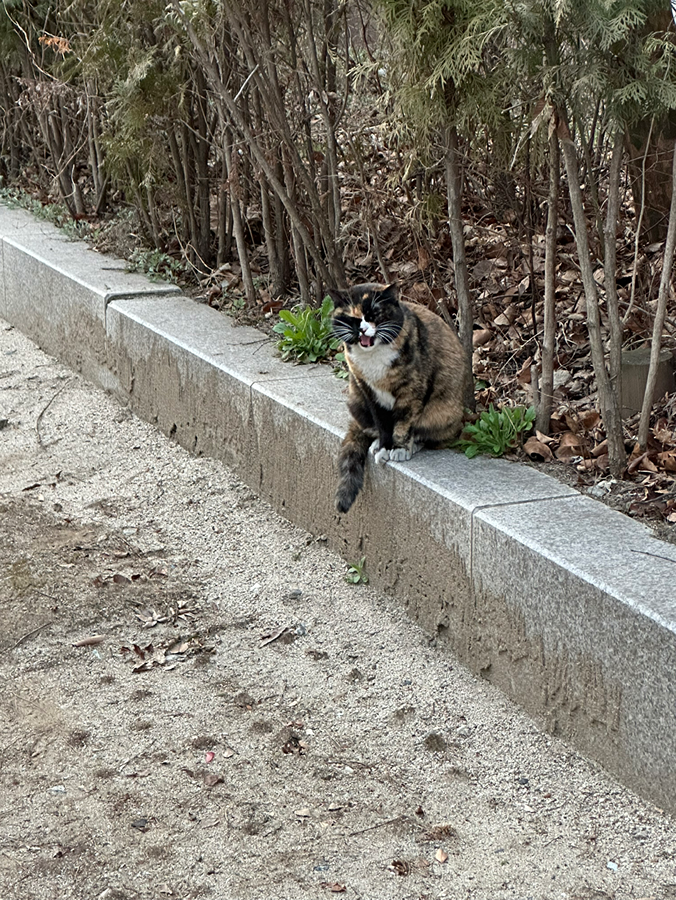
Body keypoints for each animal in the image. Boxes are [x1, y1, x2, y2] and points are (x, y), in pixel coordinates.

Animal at [328, 284, 470, 516]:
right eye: (352, 318)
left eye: (373, 314)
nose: (362, 329)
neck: (373, 357)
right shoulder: (367, 390)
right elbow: (382, 423)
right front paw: (384, 446)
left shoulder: (411, 390)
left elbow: (404, 423)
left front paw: (400, 448)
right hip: (356, 401)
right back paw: (376, 443)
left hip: (442, 412)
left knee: (430, 435)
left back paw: (414, 444)